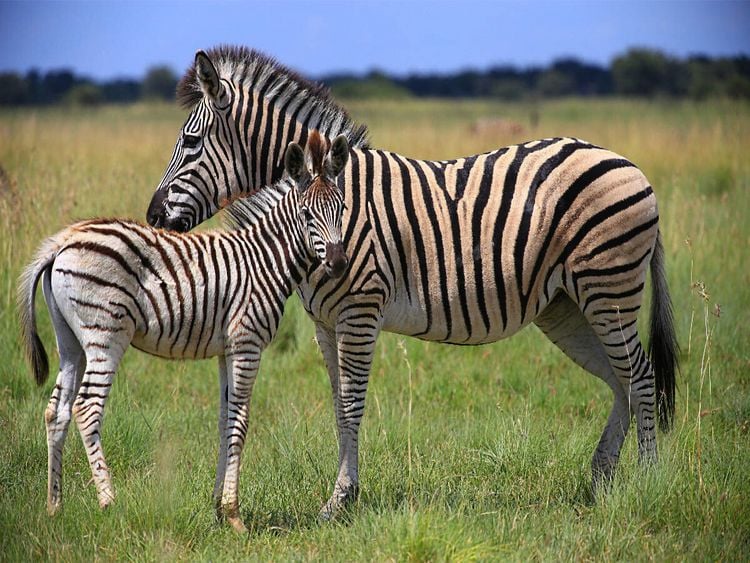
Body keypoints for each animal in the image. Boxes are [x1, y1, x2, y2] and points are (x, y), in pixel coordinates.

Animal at [18, 131, 350, 532]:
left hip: (70, 341)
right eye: (306, 215)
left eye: (342, 209)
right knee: (87, 407)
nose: (338, 264)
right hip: (105, 335)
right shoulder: (247, 343)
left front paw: (218, 510)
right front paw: (235, 515)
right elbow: (241, 422)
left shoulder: (227, 349)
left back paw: (55, 506)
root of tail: (61, 243)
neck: (265, 259)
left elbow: (225, 420)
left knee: (58, 411)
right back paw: (108, 502)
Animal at [145, 46, 678, 520]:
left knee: (642, 376)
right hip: (567, 306)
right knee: (620, 379)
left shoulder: (359, 310)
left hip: (608, 290)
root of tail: (629, 164)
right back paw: (602, 479)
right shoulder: (324, 322)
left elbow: (353, 404)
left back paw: (648, 480)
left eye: (190, 143)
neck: (325, 201)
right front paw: (345, 495)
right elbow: (337, 405)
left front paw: (340, 501)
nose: (152, 217)